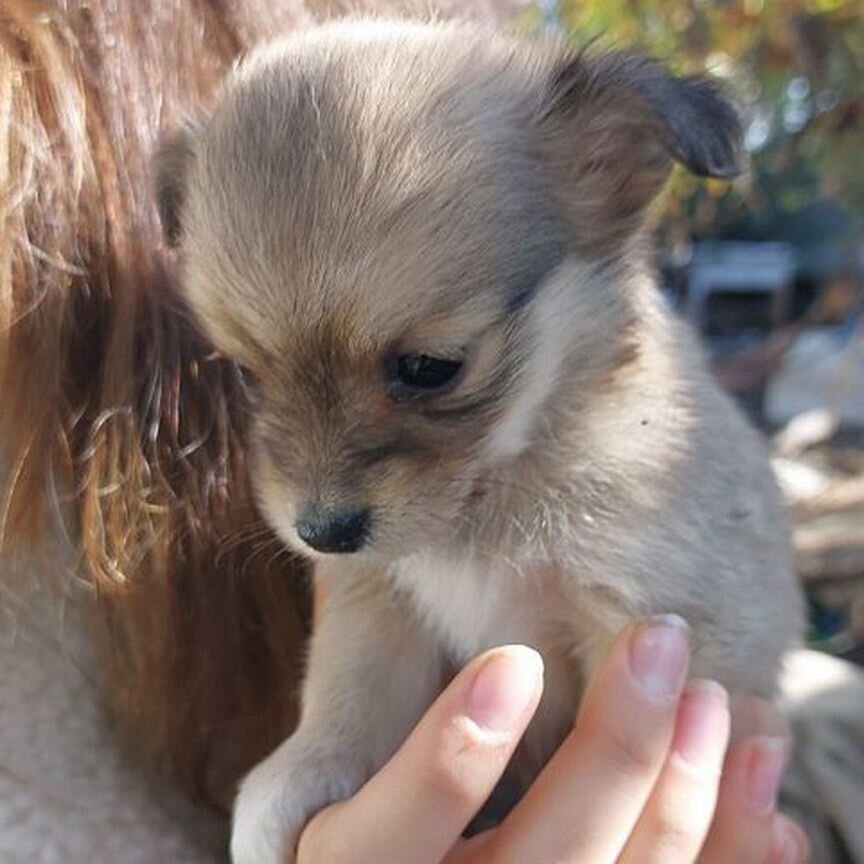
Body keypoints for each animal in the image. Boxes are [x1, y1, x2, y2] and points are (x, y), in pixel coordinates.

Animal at [157, 18, 804, 864]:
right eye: (243, 373)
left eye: (432, 368)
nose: (322, 531)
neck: (498, 487)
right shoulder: (381, 600)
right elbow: (348, 689)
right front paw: (294, 780)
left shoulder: (651, 619)